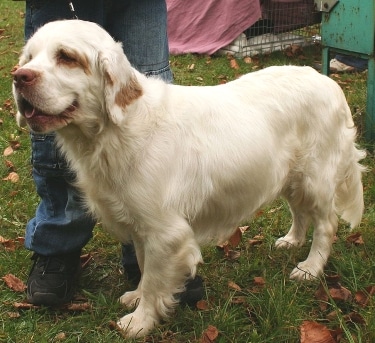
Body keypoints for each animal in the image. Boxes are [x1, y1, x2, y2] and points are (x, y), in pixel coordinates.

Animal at [12, 20, 368, 340]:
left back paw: (310, 268)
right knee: (300, 212)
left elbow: (155, 279)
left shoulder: (165, 232)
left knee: (326, 224)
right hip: (289, 177)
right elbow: (143, 267)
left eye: (67, 57)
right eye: (29, 57)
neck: (118, 129)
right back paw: (291, 240)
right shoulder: (142, 227)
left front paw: (140, 320)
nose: (19, 77)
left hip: (315, 179)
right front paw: (136, 297)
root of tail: (326, 81)